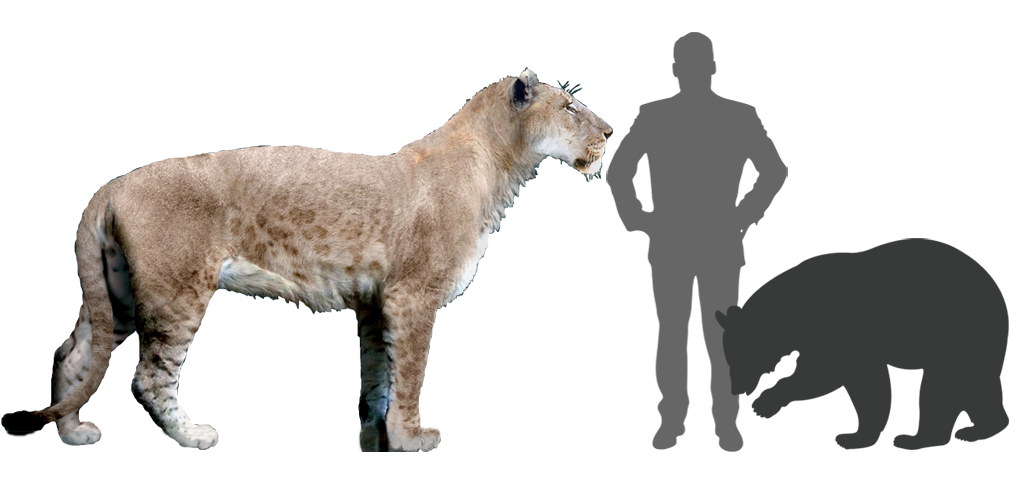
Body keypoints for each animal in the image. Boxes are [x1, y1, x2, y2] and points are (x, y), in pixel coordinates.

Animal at [9, 69, 611, 451]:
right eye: (570, 107)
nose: (608, 132)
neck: (498, 163)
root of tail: (110, 185)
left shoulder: (377, 300)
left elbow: (380, 372)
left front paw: (374, 430)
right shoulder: (412, 295)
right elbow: (412, 373)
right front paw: (413, 438)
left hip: (118, 294)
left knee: (74, 356)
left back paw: (73, 433)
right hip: (177, 290)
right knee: (150, 377)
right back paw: (191, 437)